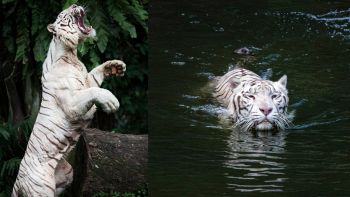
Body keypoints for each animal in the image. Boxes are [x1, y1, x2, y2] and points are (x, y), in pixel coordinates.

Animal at [11, 4, 126, 197]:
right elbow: (95, 91)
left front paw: (115, 66)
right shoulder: (72, 102)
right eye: (62, 14)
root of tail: (17, 181)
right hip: (41, 188)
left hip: (67, 172)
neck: (72, 55)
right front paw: (111, 101)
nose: (74, 4)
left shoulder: (86, 80)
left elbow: (96, 73)